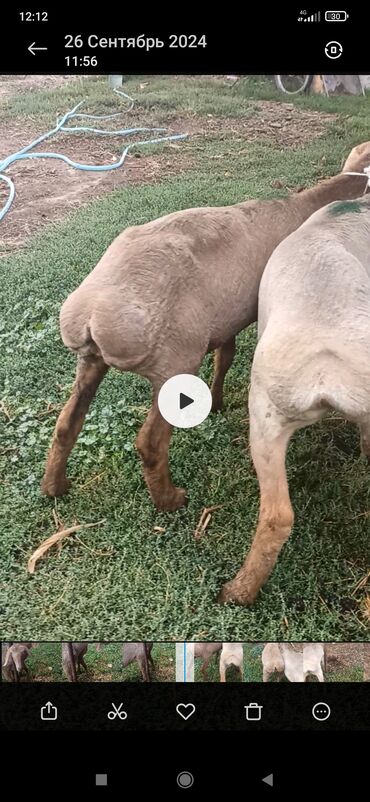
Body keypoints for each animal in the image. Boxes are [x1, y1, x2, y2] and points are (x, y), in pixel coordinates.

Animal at [40, 142, 370, 512]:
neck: (304, 206)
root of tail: (91, 316)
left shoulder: (226, 317)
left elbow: (224, 358)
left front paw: (216, 401)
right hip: (175, 360)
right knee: (150, 442)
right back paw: (170, 500)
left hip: (91, 362)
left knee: (66, 422)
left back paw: (54, 486)